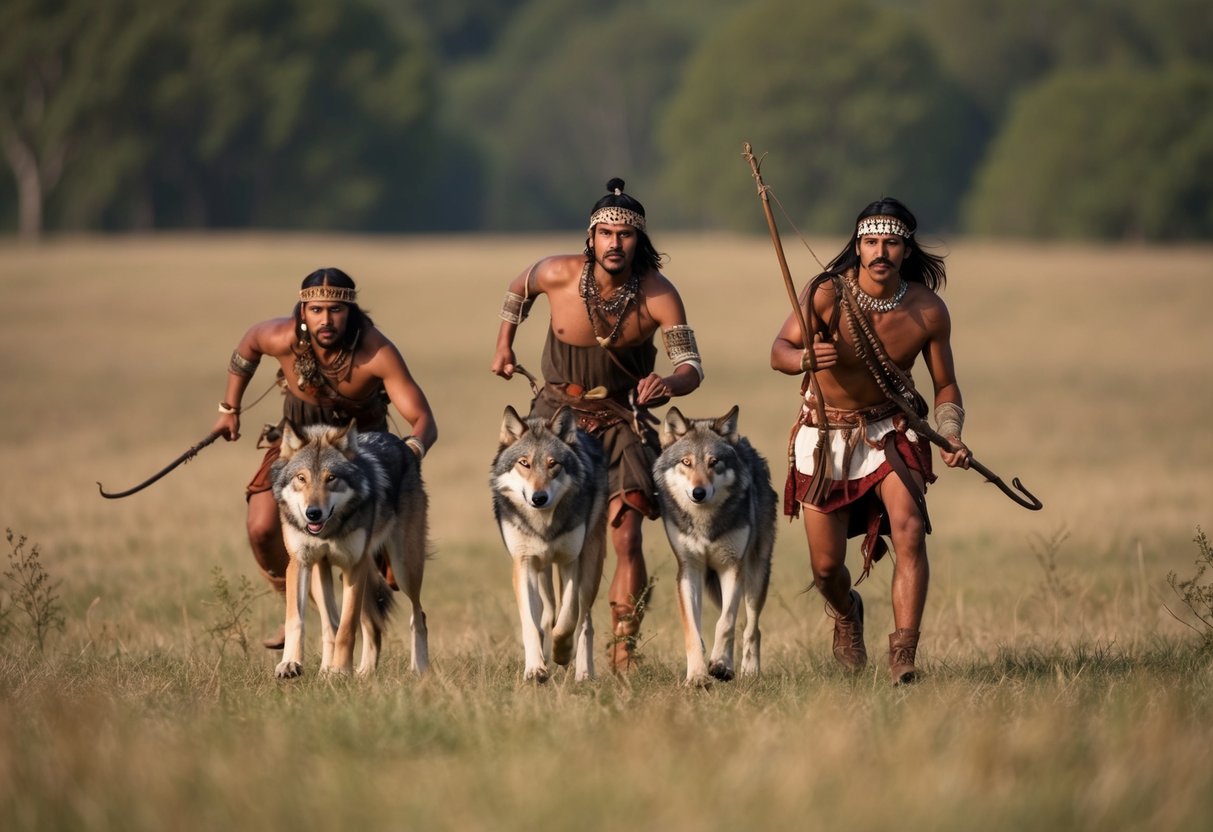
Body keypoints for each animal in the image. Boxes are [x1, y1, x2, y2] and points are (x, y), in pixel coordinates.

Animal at [270, 420, 429, 679]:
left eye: (331, 478)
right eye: (301, 478)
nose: (313, 513)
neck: (329, 531)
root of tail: (405, 446)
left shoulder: (354, 566)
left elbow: (346, 628)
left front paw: (341, 671)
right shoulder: (300, 563)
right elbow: (298, 620)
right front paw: (290, 664)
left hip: (403, 569)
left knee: (418, 615)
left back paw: (419, 669)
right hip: (333, 573)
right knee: (359, 624)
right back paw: (358, 672)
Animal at [491, 405, 608, 682]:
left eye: (553, 463)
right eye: (524, 463)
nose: (539, 498)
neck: (544, 527)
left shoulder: (570, 561)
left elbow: (568, 620)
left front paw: (562, 653)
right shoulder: (523, 564)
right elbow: (531, 624)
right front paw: (535, 669)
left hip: (590, 566)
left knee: (584, 620)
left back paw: (584, 672)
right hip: (542, 570)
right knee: (548, 613)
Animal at [654, 405, 777, 687]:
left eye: (714, 462)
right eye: (686, 462)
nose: (699, 493)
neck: (704, 523)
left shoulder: (732, 567)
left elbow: (726, 623)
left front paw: (719, 664)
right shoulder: (689, 571)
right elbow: (693, 631)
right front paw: (697, 676)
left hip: (755, 576)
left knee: (752, 628)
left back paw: (748, 671)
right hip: (711, 584)